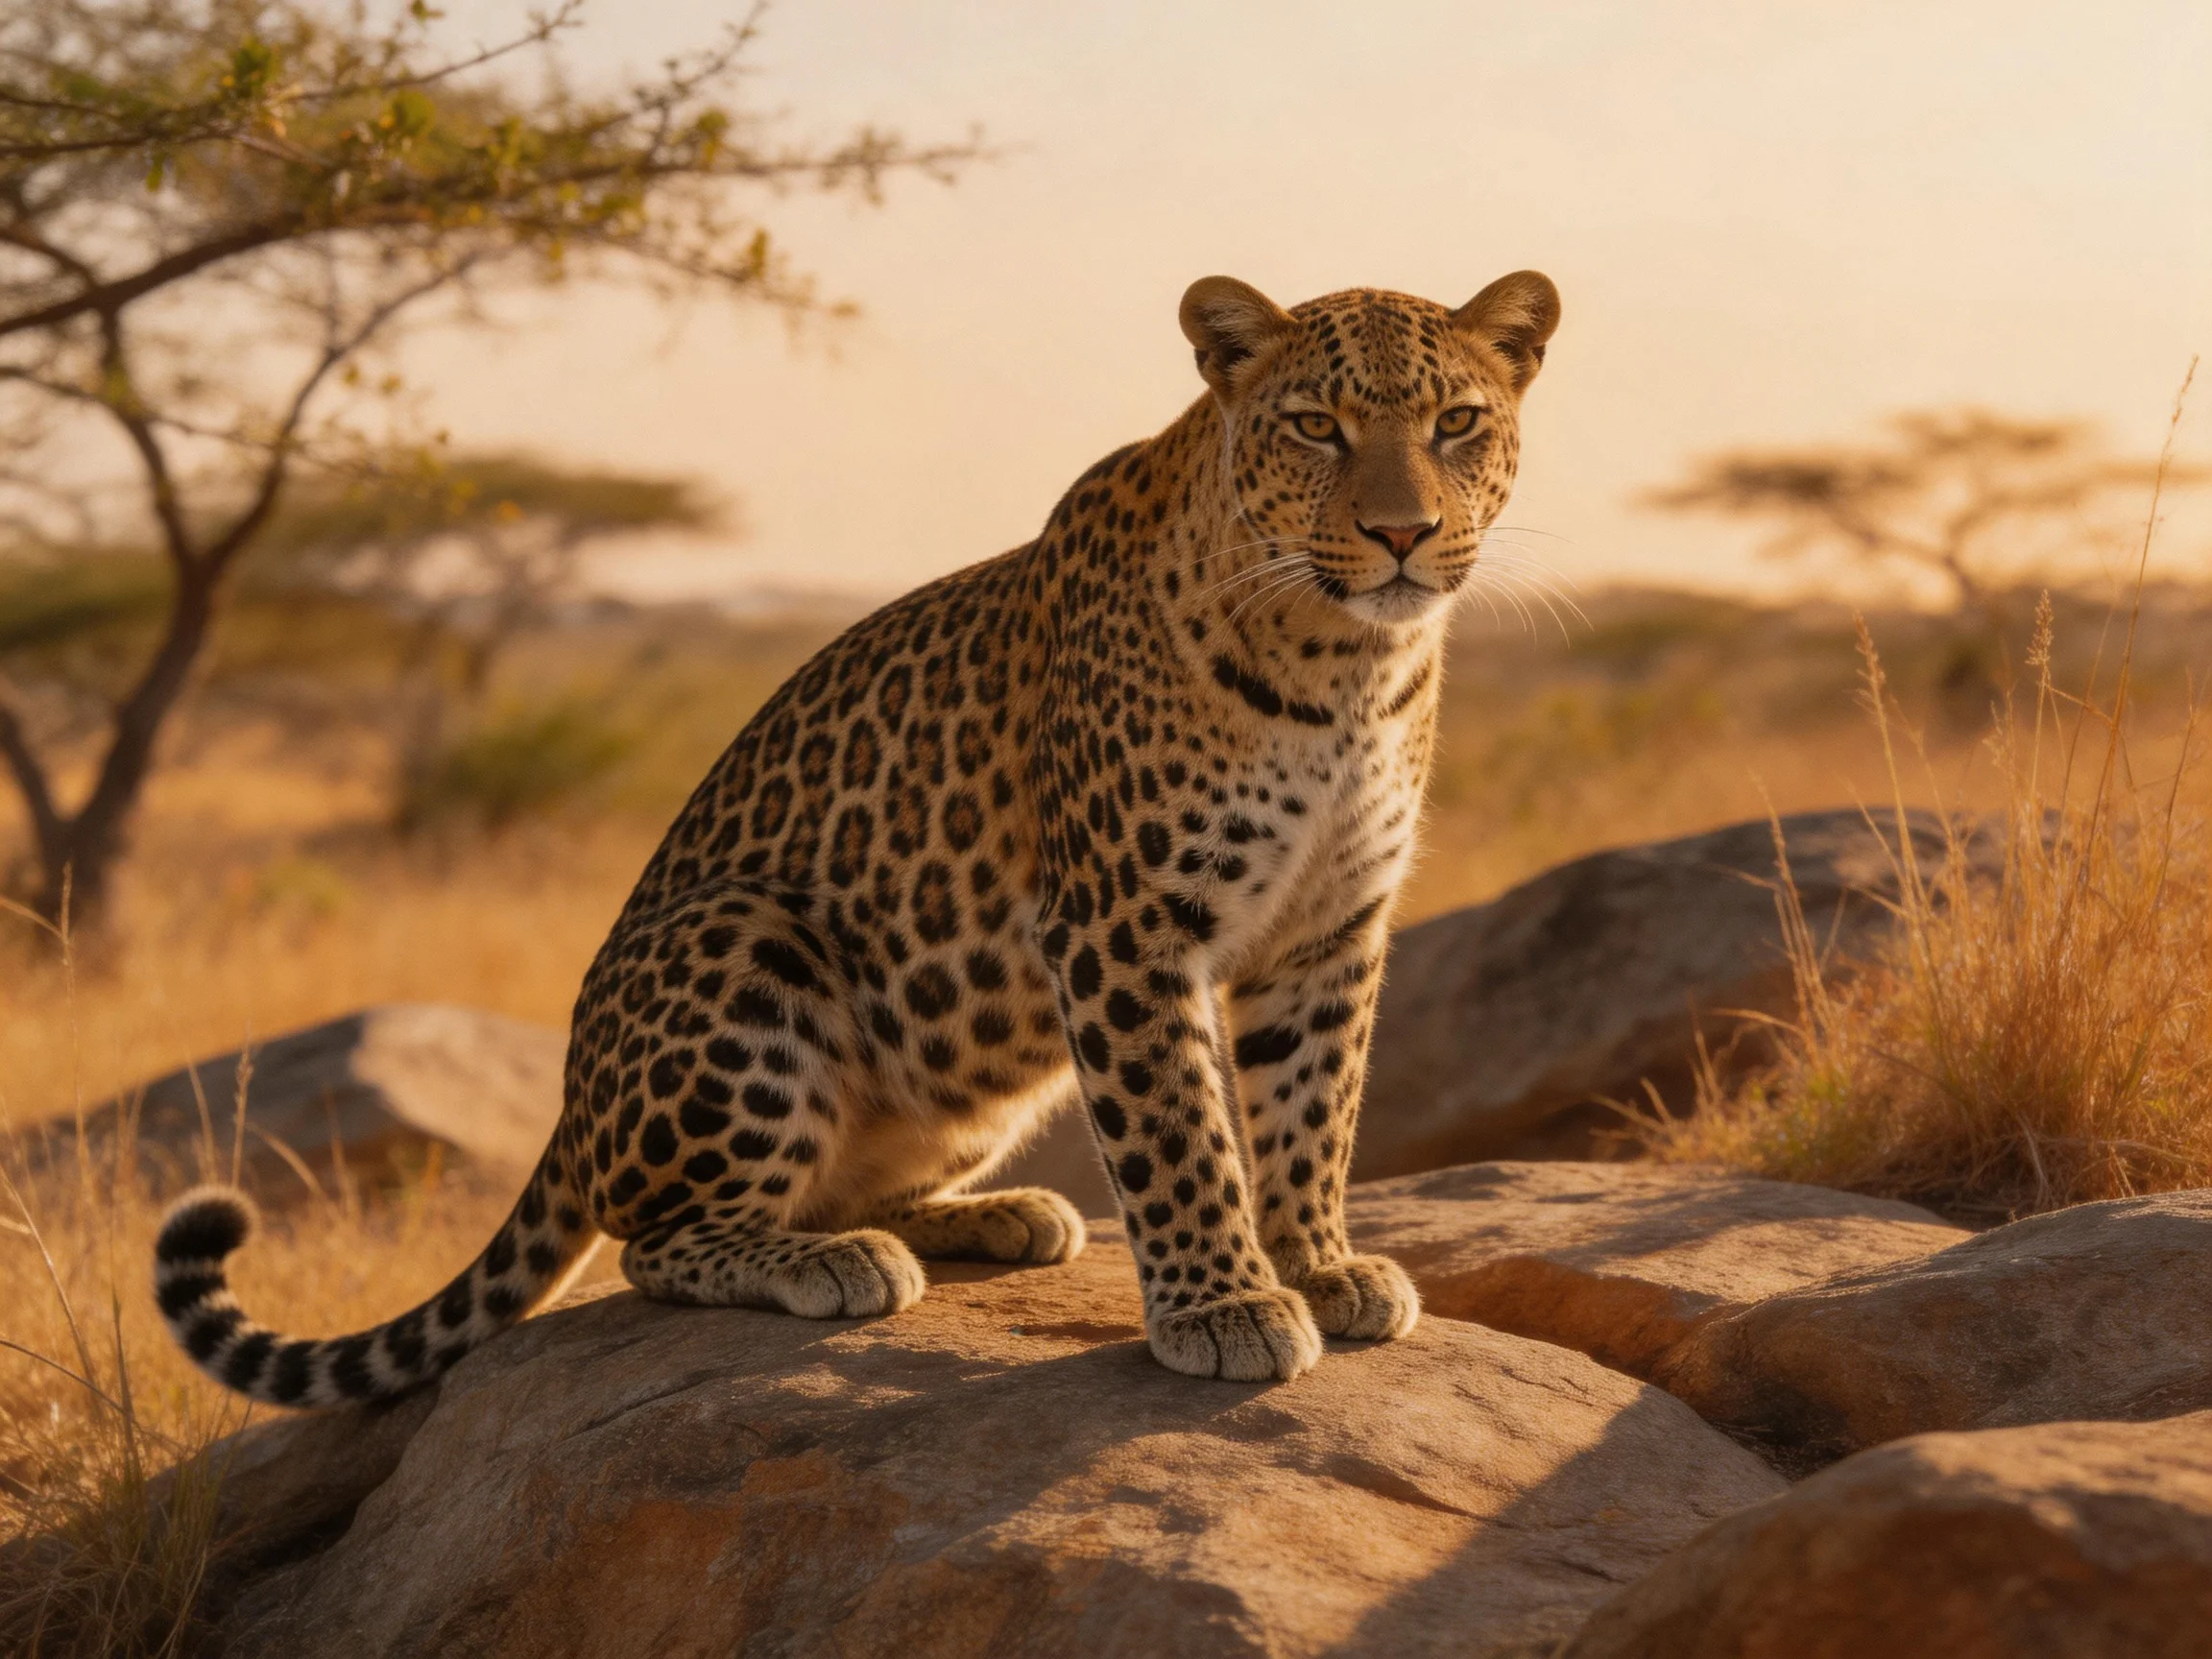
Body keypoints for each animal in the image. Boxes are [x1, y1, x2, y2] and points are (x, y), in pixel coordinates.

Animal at [154, 268, 1561, 1400]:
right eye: (1316, 426)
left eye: (1456, 424)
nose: (1400, 533)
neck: (1346, 666)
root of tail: (565, 1111)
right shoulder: (1124, 925)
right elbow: (1177, 1128)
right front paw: (1225, 1307)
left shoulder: (1329, 928)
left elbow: (1314, 1109)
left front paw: (1318, 1267)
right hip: (742, 939)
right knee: (655, 1239)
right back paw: (831, 1262)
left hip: (980, 1062)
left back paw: (1001, 1219)